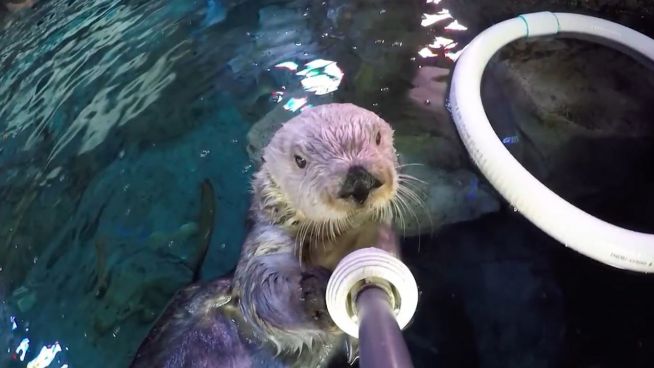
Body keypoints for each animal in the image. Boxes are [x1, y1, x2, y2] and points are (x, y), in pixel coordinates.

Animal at [130, 103, 412, 368]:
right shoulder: (264, 241)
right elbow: (261, 288)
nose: (359, 180)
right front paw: (314, 295)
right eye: (300, 160)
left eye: (377, 137)